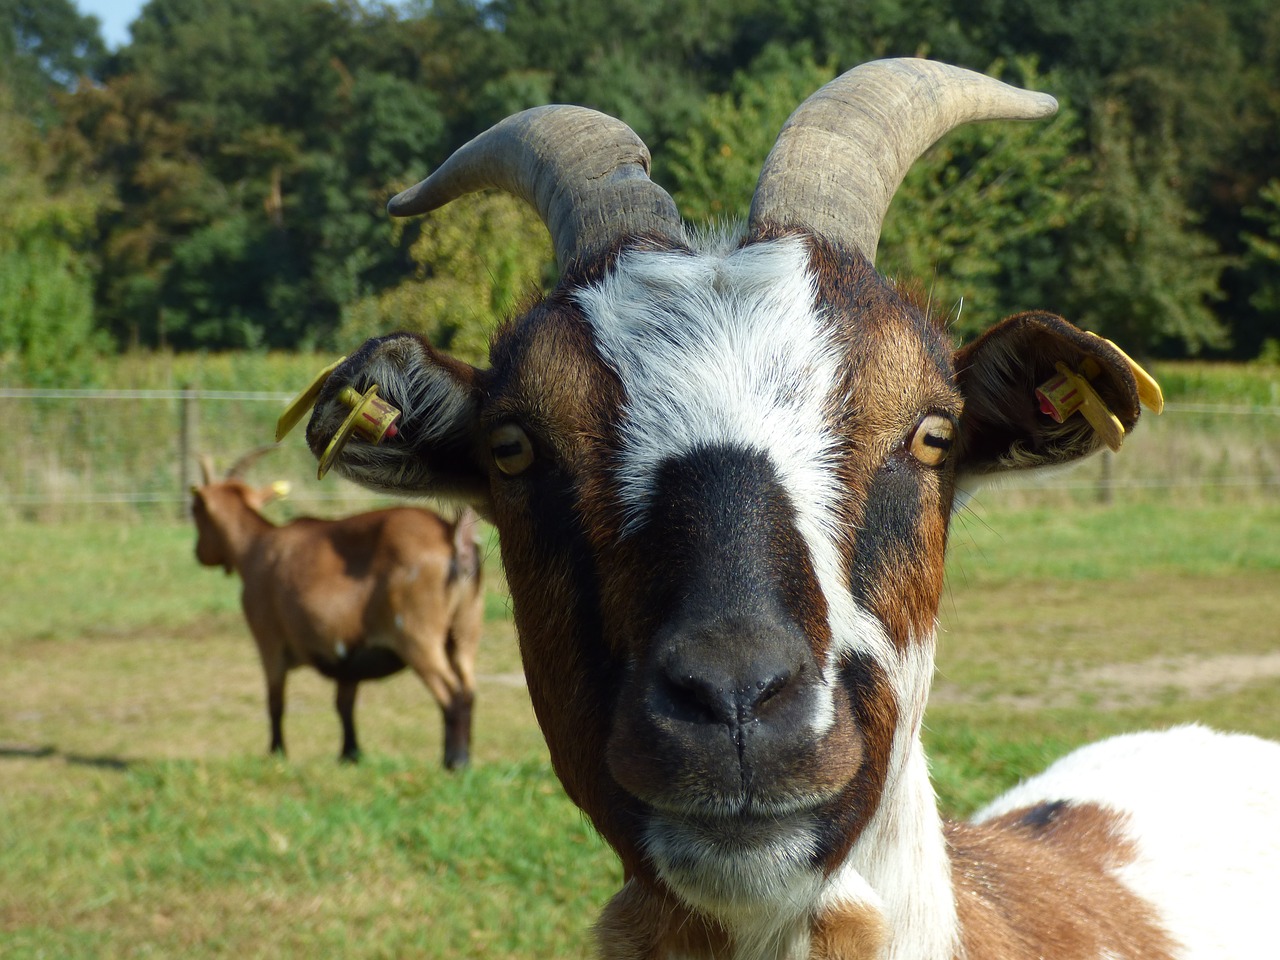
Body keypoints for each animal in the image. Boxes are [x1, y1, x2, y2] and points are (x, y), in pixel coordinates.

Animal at [192, 448, 481, 773]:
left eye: (195, 509)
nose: (199, 553)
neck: (255, 546)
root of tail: (454, 540)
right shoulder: (347, 650)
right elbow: (344, 703)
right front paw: (350, 754)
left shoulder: (269, 639)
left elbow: (276, 701)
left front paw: (276, 753)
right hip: (465, 631)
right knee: (469, 689)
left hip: (416, 635)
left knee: (452, 692)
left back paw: (455, 761)